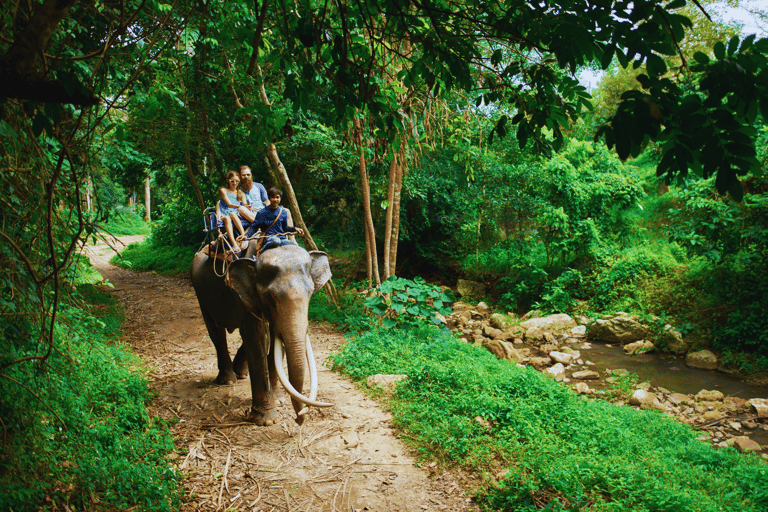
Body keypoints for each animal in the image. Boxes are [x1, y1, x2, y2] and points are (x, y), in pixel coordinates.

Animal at [190, 242, 332, 426]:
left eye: (310, 292)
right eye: (270, 297)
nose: (298, 418)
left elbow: (273, 336)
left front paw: (278, 399)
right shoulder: (242, 295)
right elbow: (255, 336)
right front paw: (265, 420)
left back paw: (241, 373)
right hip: (201, 295)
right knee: (216, 332)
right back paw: (228, 380)